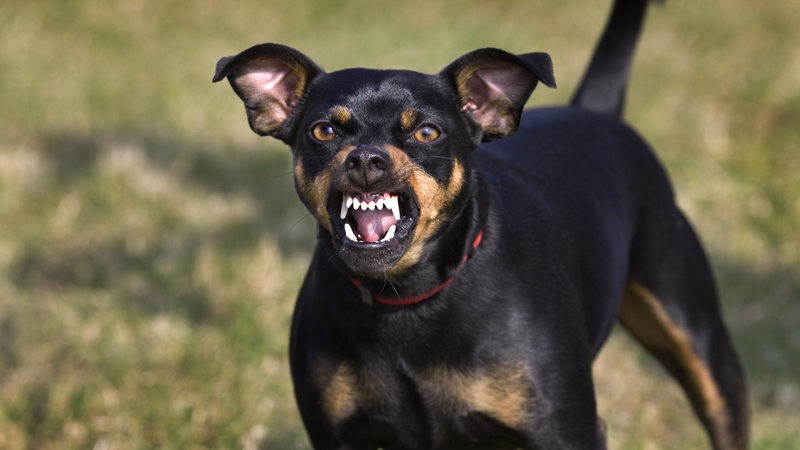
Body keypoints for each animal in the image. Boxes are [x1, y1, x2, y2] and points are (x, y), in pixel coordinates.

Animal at [214, 0, 752, 448]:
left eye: (427, 132)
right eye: (323, 130)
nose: (365, 160)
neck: (406, 298)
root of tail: (595, 112)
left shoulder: (566, 431)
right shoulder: (338, 434)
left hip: (700, 343)